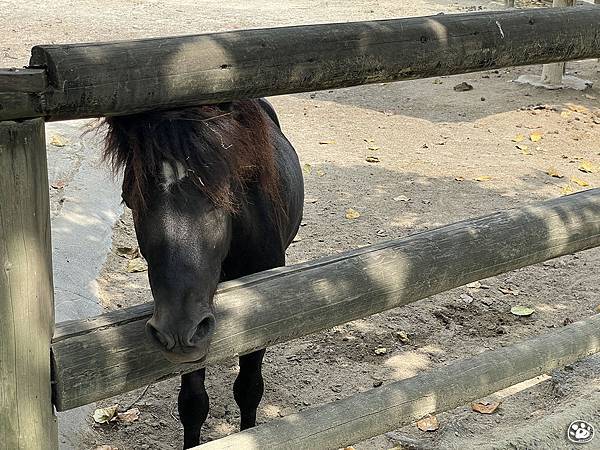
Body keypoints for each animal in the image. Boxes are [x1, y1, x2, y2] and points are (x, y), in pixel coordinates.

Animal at [102, 98, 304, 446]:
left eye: (224, 196)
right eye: (131, 199)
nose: (178, 331)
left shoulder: (263, 307)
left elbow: (249, 389)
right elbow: (193, 404)